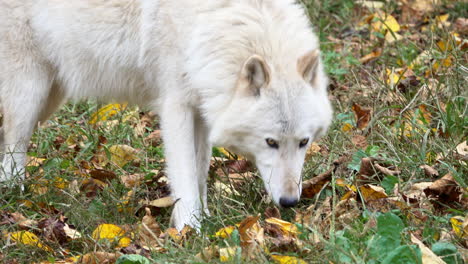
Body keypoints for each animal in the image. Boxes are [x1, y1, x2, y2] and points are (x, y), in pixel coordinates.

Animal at [0, 0, 330, 230]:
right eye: (271, 142)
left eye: (303, 142)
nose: (290, 202)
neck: (210, 22)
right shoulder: (176, 106)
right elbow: (184, 173)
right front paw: (189, 229)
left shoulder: (203, 109)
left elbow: (200, 169)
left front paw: (205, 216)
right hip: (30, 95)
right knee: (13, 152)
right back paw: (14, 199)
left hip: (48, 97)